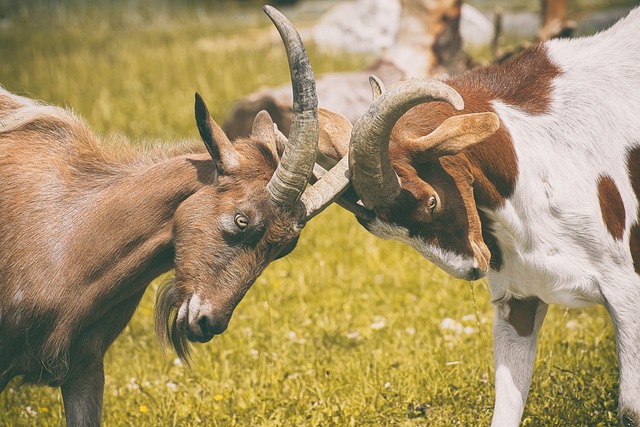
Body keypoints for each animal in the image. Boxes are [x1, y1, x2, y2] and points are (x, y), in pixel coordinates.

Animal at [322, 6, 640, 427]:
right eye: (385, 230)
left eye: (431, 201)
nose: (472, 269)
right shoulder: (517, 299)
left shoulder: (626, 291)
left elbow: (631, 408)